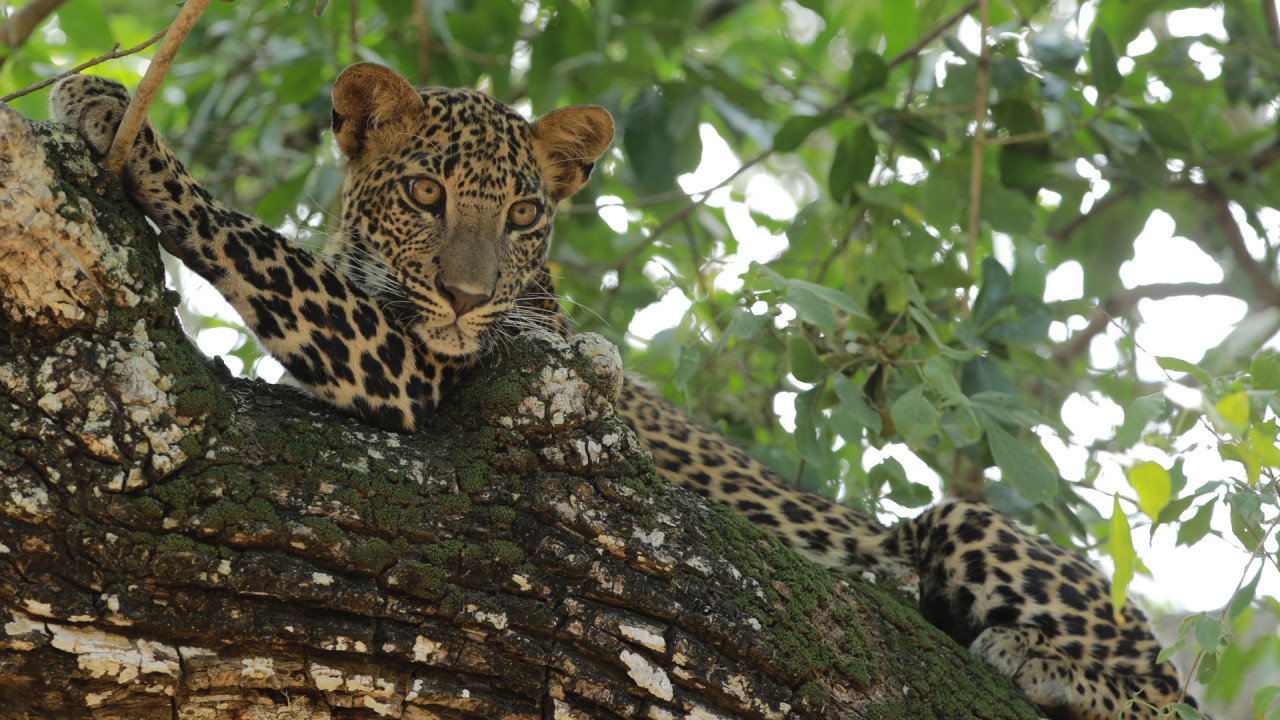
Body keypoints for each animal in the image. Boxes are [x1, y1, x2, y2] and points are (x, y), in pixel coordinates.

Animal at [47, 63, 1187, 717]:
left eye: (521, 216)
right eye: (425, 192)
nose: (466, 297)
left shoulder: (426, 368)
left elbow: (251, 239)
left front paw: (113, 114)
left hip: (967, 527)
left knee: (1163, 690)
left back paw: (1044, 663)